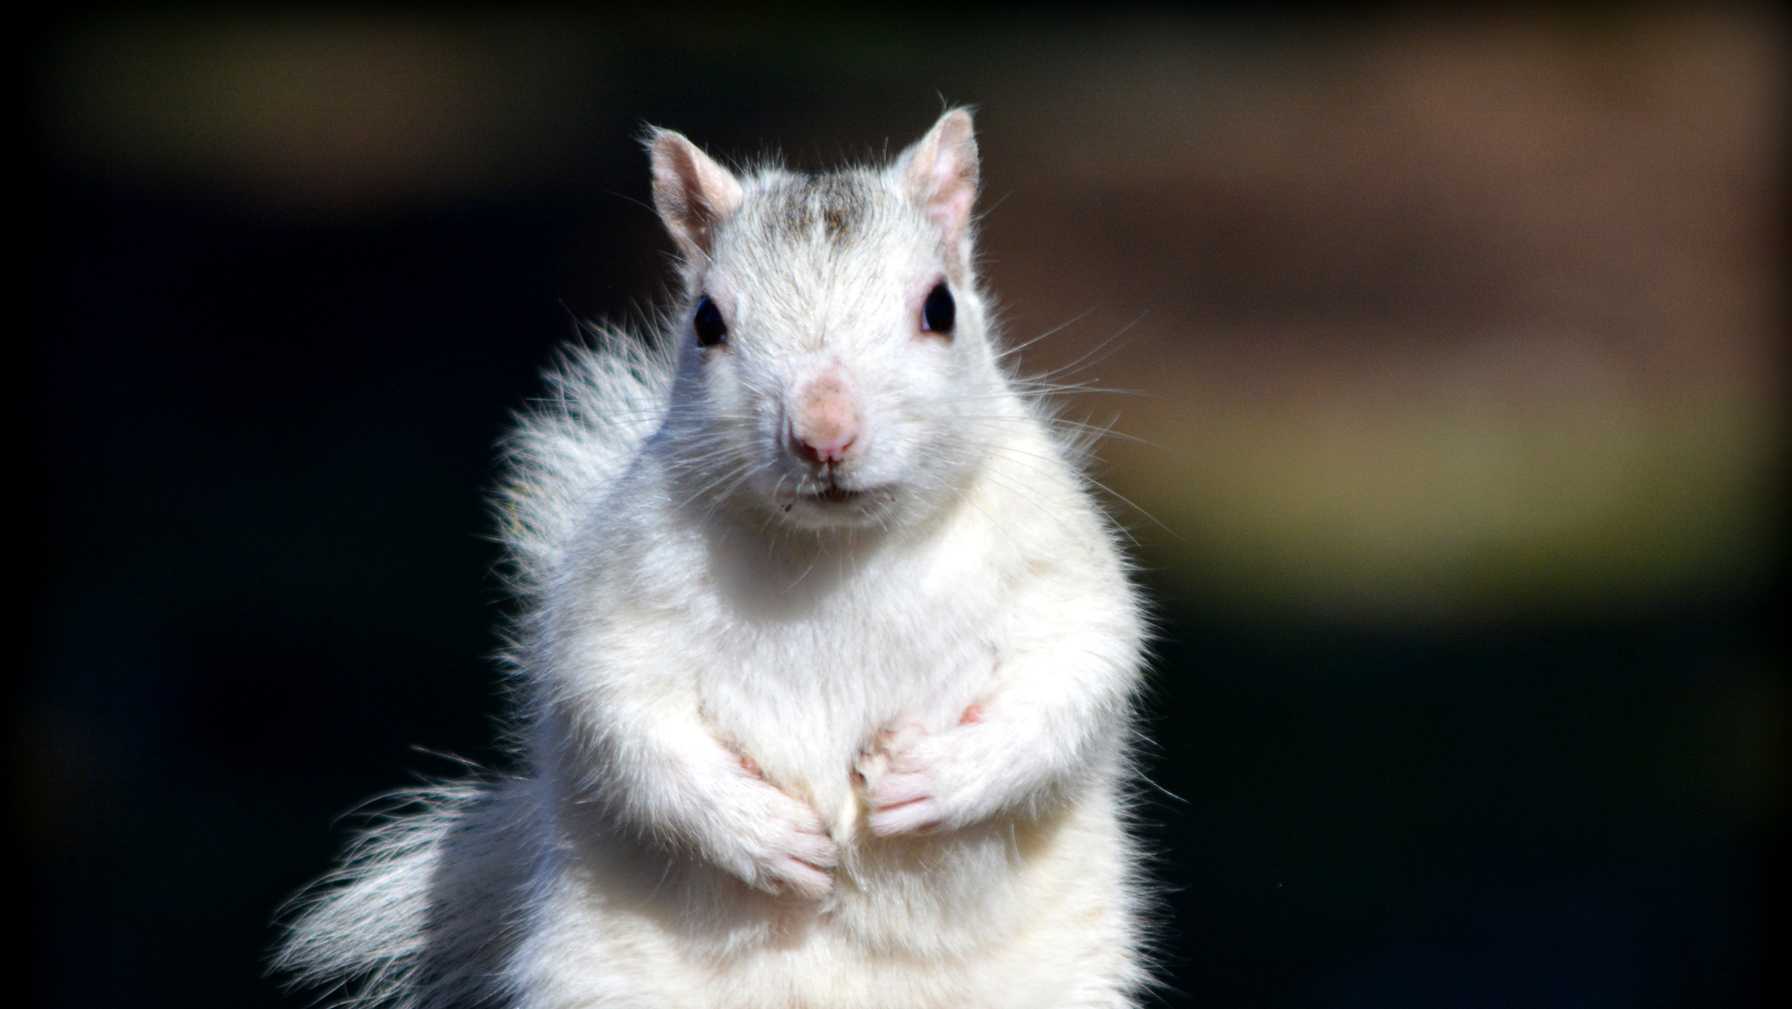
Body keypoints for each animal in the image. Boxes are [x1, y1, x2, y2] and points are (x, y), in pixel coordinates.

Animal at [275, 108, 1154, 1009]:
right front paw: (761, 833)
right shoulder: (621, 595)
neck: (834, 553)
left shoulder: (1053, 554)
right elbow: (623, 720)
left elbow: (1074, 676)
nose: (823, 431)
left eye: (940, 307)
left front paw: (939, 777)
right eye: (706, 321)